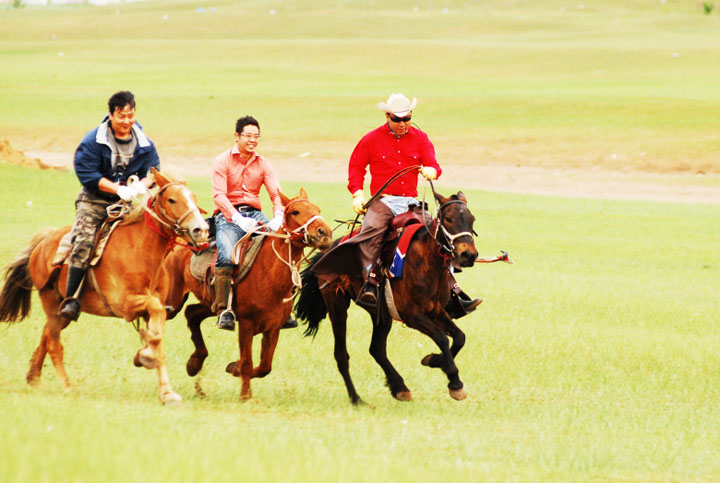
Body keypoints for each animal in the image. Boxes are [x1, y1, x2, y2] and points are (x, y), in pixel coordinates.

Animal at [0, 170, 208, 404]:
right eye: (172, 199)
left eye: (194, 198)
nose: (201, 230)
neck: (142, 250)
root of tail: (43, 242)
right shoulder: (126, 305)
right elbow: (155, 326)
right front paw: (146, 356)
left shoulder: (156, 309)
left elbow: (158, 338)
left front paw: (165, 389)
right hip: (51, 304)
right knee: (54, 344)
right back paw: (67, 386)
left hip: (62, 312)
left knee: (46, 336)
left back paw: (33, 377)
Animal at [163, 189, 332, 400]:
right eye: (295, 211)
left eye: (318, 209)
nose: (325, 233)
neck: (269, 274)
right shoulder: (246, 325)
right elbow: (247, 362)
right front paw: (245, 396)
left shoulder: (273, 328)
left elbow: (265, 366)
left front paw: (232, 368)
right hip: (173, 300)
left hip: (213, 305)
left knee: (192, 313)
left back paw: (194, 364)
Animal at [296, 189, 480, 404]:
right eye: (449, 219)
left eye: (472, 219)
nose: (468, 255)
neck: (426, 263)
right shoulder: (412, 315)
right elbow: (442, 338)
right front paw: (455, 383)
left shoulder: (436, 311)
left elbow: (459, 337)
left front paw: (435, 361)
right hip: (337, 306)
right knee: (341, 354)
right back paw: (356, 398)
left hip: (381, 314)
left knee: (376, 349)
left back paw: (399, 387)